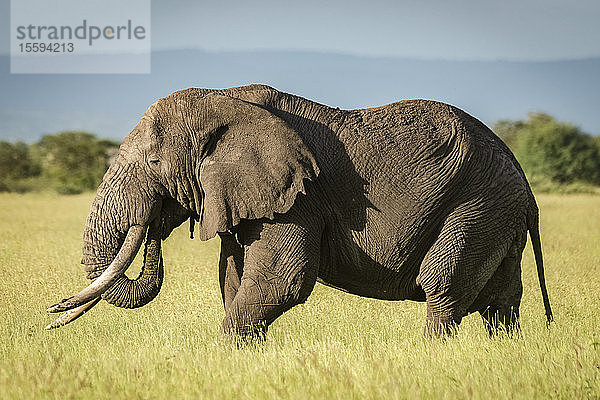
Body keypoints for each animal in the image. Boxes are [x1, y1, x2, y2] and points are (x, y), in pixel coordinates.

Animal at [45, 84, 552, 338]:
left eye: (153, 164)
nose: (50, 314)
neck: (224, 99)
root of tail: (525, 186)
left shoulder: (300, 197)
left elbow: (281, 282)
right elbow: (234, 279)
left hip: (478, 205)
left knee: (444, 288)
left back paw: (432, 354)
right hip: (498, 215)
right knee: (501, 300)